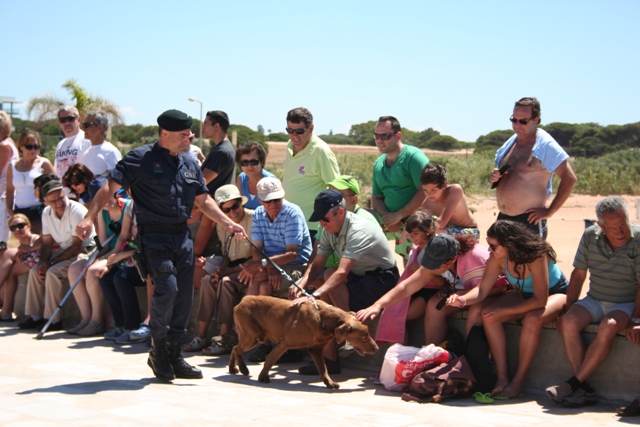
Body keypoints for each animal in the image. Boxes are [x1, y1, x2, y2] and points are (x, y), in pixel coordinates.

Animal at [228, 295, 379, 389]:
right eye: (364, 337)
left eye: (368, 333)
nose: (377, 349)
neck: (323, 319)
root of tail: (244, 299)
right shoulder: (284, 344)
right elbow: (270, 361)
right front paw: (263, 377)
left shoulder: (316, 350)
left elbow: (323, 369)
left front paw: (329, 383)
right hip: (251, 336)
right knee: (236, 349)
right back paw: (242, 368)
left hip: (252, 337)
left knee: (234, 348)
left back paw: (232, 369)